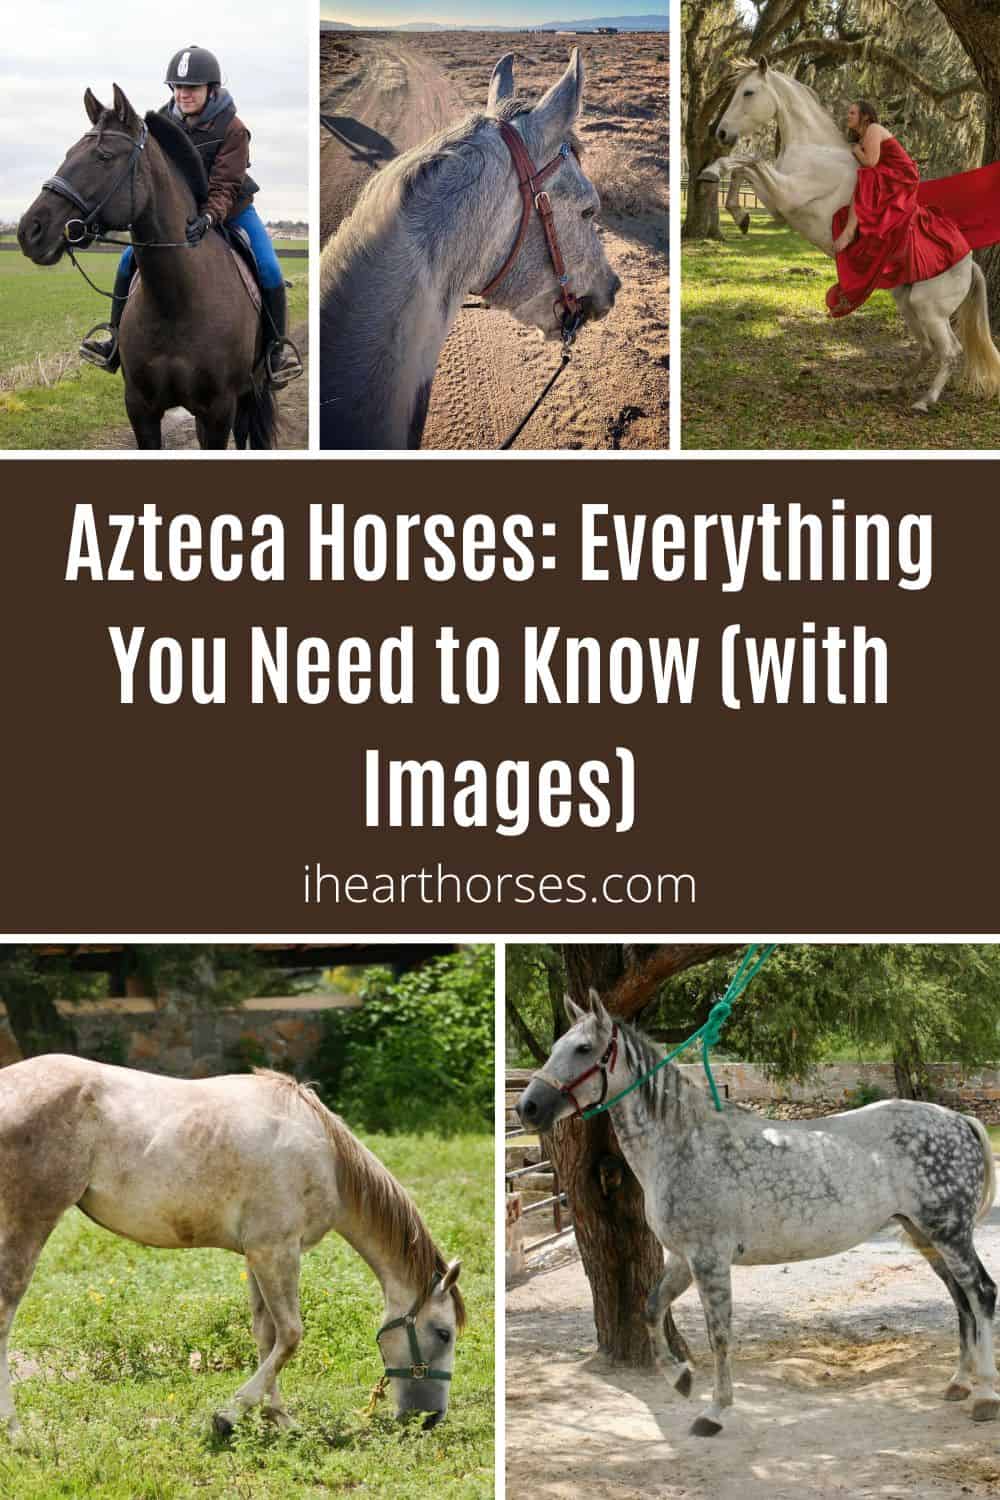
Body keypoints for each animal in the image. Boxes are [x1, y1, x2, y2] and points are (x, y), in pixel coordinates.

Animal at [0, 1055, 464, 1442]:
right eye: (443, 1333)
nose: (431, 1419)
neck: (325, 1155)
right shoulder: (277, 1251)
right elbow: (290, 1335)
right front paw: (230, 1416)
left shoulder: (259, 1254)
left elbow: (267, 1337)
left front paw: (277, 1419)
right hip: (27, 1228)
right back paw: (15, 1433)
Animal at [18, 85, 277, 449]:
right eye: (69, 152)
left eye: (103, 157)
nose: (30, 231)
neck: (176, 301)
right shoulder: (141, 408)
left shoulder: (218, 411)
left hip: (250, 391)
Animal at [517, 990, 997, 1439]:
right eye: (556, 1045)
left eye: (583, 1048)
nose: (527, 1108)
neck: (681, 1143)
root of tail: (959, 1120)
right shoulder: (683, 1259)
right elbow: (652, 1309)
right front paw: (680, 1380)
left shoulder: (709, 1260)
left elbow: (719, 1334)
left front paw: (714, 1411)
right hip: (924, 1235)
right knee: (961, 1300)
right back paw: (958, 1383)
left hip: (949, 1233)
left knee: (981, 1294)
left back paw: (985, 1396)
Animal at [700, 59, 1000, 414]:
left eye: (748, 92)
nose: (721, 133)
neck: (815, 149)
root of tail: (969, 264)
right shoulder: (778, 205)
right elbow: (742, 169)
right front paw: (739, 214)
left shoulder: (786, 193)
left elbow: (748, 161)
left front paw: (713, 174)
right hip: (907, 302)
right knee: (927, 347)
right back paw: (895, 387)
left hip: (929, 309)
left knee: (950, 351)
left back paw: (924, 401)